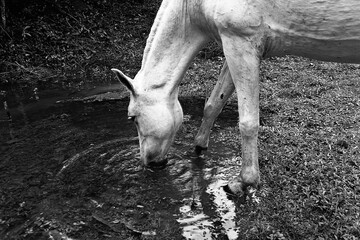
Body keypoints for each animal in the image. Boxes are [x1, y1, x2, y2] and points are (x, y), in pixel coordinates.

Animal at [112, 0, 360, 195]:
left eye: (133, 118)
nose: (149, 163)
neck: (191, 5)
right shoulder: (232, 46)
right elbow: (214, 104)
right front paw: (199, 147)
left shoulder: (241, 44)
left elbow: (248, 123)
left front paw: (244, 182)